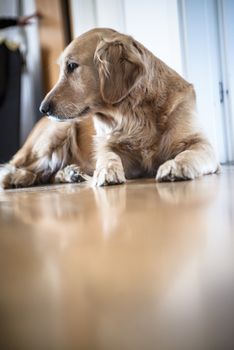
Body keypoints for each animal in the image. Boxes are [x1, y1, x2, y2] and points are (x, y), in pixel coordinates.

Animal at [0, 28, 219, 190]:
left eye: (71, 66)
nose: (42, 108)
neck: (133, 114)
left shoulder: (201, 143)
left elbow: (187, 153)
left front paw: (175, 165)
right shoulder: (109, 144)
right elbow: (108, 155)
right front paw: (106, 171)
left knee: (47, 174)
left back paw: (70, 173)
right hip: (56, 134)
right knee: (14, 169)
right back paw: (19, 178)